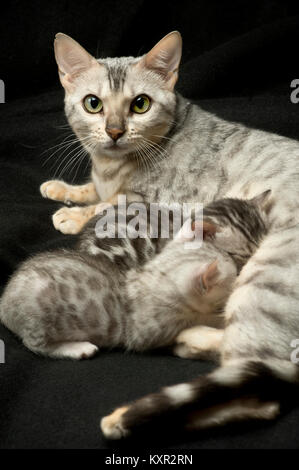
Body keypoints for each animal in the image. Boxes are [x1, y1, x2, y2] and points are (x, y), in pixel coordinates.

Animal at [41, 33, 299, 436]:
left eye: (140, 104)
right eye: (93, 104)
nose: (114, 131)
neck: (112, 165)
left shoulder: (160, 200)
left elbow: (107, 203)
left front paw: (72, 214)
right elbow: (94, 190)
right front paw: (64, 189)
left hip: (265, 277)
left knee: (253, 382)